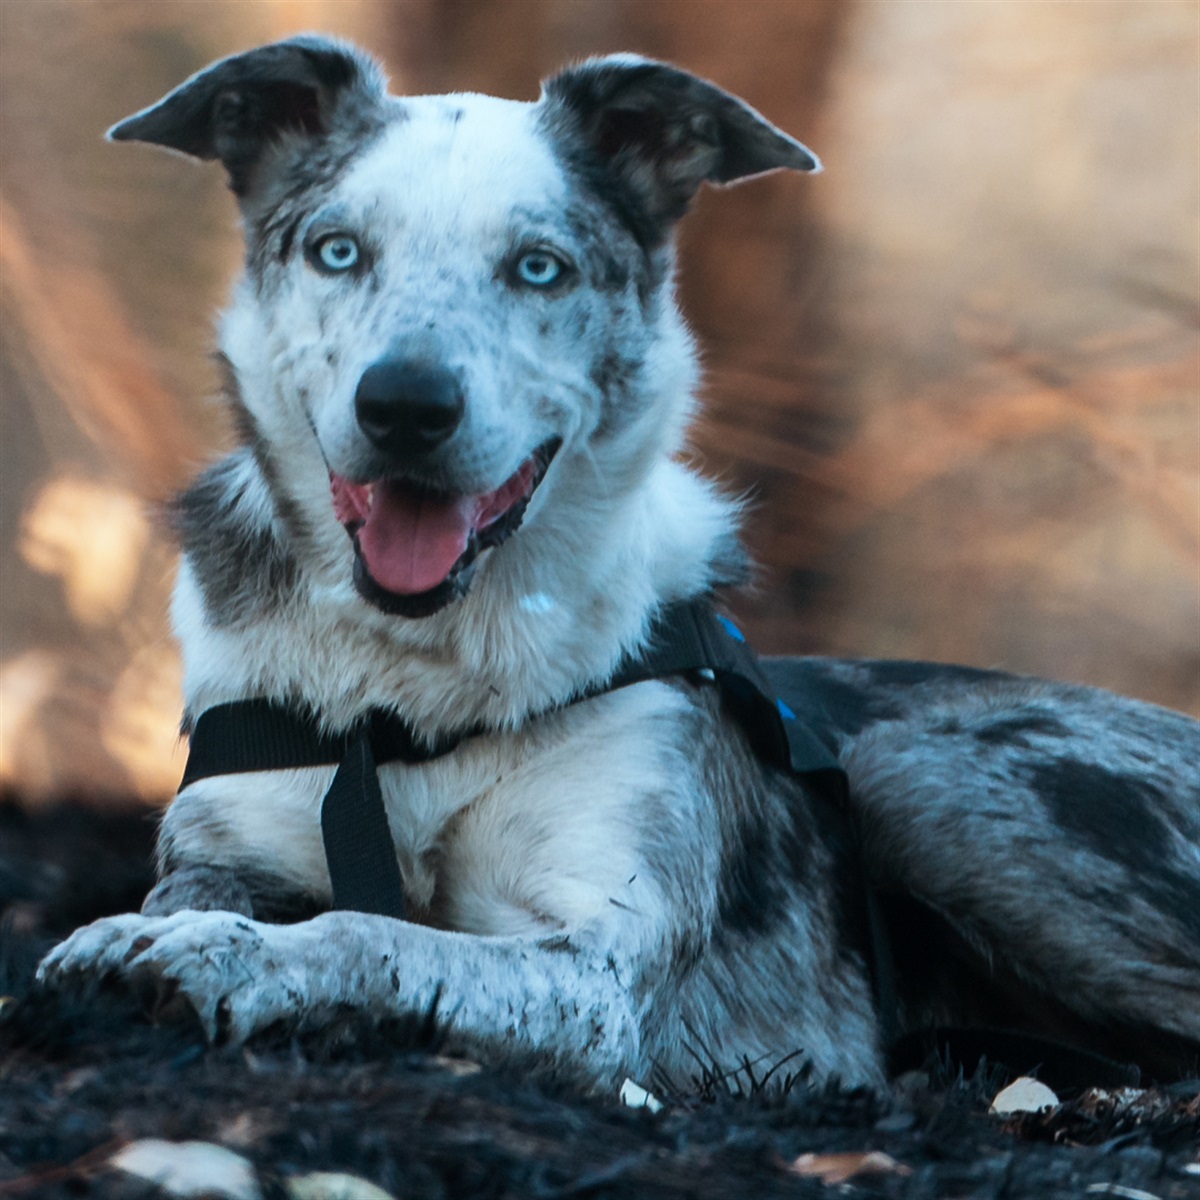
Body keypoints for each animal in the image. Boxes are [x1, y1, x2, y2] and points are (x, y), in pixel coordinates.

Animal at [39, 37, 1200, 1094]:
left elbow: (376, 934)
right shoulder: (234, 844)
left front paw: (219, 958)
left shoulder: (596, 971)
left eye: (537, 267)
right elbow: (203, 898)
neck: (416, 690)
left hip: (917, 777)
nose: (405, 406)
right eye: (336, 251)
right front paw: (156, 935)